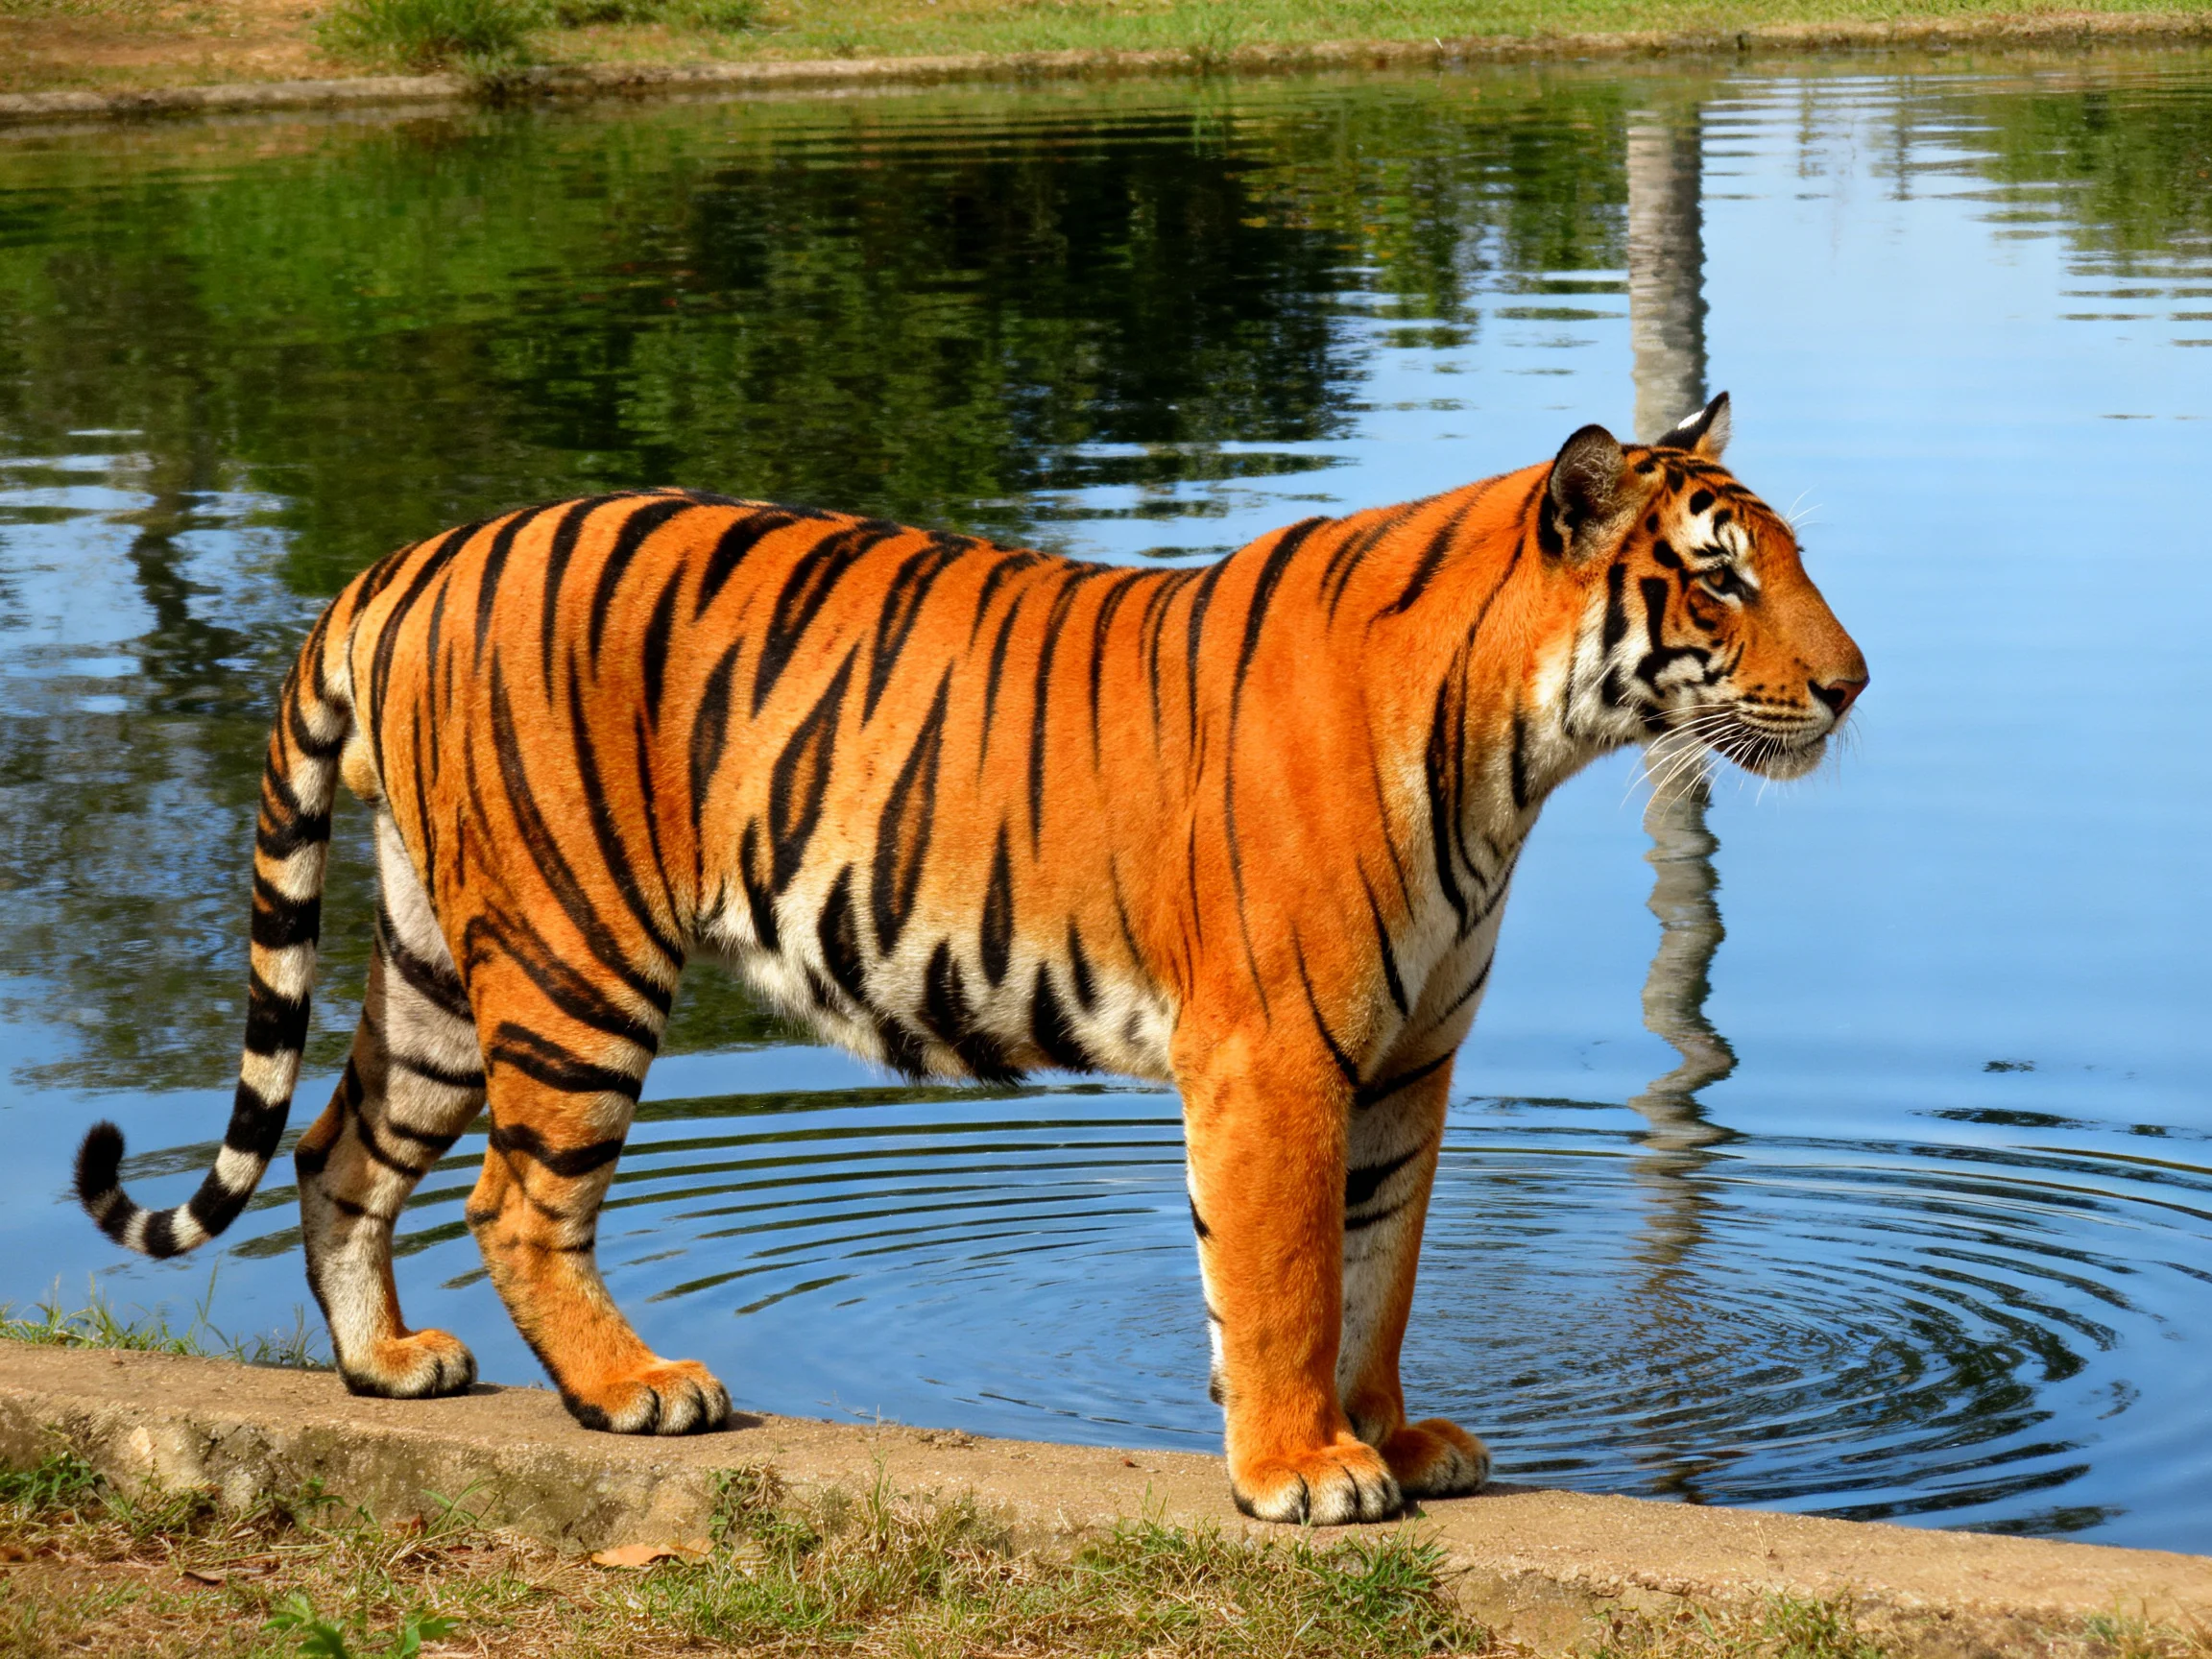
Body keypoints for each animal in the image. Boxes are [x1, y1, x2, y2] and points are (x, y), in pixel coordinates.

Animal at [74, 393, 1864, 1525]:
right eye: (1718, 579)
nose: (1850, 686)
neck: (1516, 751)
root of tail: (412, 556)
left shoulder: (1409, 1057)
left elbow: (1375, 1269)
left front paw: (1391, 1436)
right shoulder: (1276, 1052)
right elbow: (1284, 1276)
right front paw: (1301, 1468)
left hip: (444, 967)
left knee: (334, 1149)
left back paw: (387, 1364)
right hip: (574, 957)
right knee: (516, 1199)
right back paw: (636, 1387)